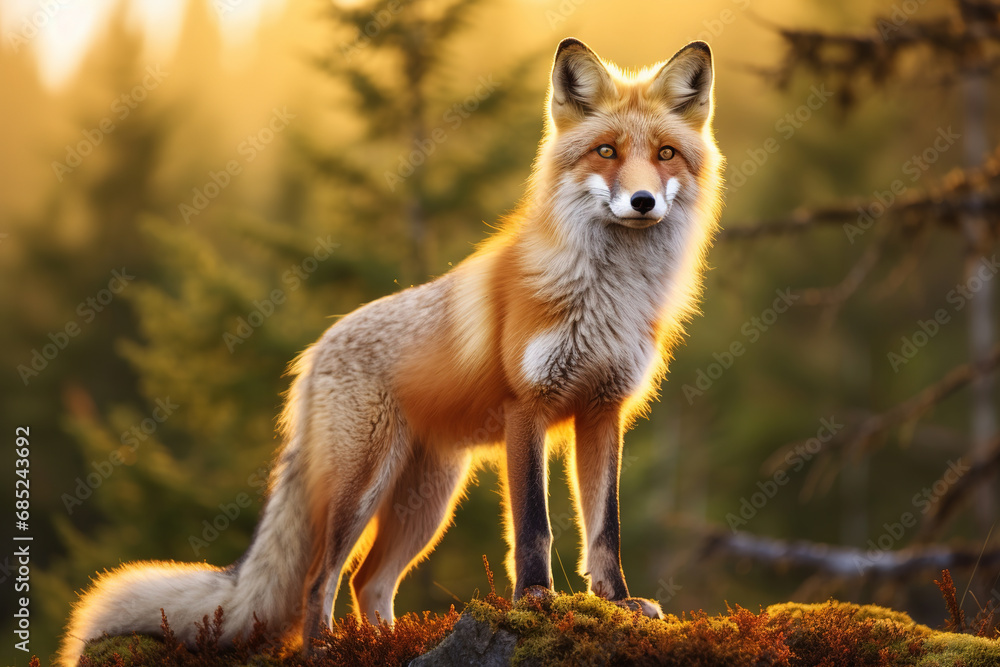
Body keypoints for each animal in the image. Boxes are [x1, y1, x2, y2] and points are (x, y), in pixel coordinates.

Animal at [61, 37, 723, 664]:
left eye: (665, 154)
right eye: (606, 152)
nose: (643, 201)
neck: (609, 294)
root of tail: (314, 353)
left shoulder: (602, 412)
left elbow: (605, 530)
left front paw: (618, 603)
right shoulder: (527, 408)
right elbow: (534, 527)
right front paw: (536, 601)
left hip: (426, 504)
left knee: (368, 583)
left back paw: (385, 644)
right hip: (361, 487)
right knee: (320, 579)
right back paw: (324, 650)